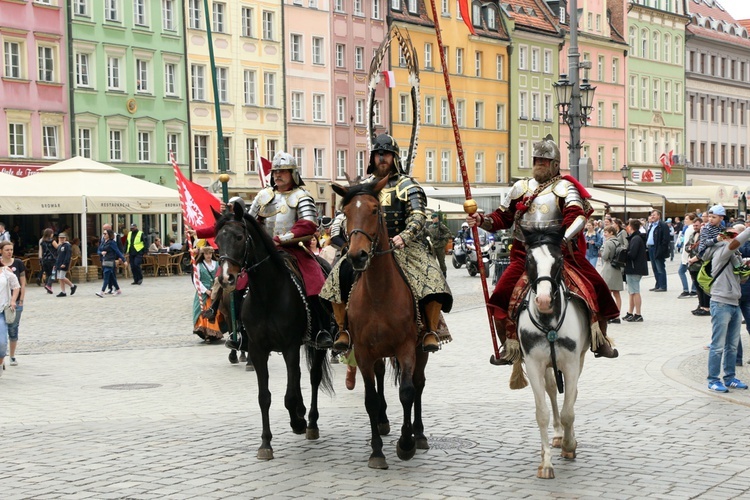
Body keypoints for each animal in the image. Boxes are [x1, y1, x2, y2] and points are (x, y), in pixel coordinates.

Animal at [334, 178, 432, 470]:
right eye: (345, 212)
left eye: (375, 210)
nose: (357, 255)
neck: (378, 293)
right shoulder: (364, 352)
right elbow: (370, 399)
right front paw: (376, 451)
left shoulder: (406, 347)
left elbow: (408, 392)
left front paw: (406, 443)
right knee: (379, 380)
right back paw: (383, 421)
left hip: (421, 350)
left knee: (419, 384)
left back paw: (419, 434)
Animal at [516, 228, 592, 480]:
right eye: (529, 260)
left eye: (559, 260)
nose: (544, 300)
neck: (548, 322)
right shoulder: (533, 364)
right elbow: (542, 412)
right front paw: (546, 463)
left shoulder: (571, 364)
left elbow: (569, 410)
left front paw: (569, 445)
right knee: (550, 390)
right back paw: (555, 437)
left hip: (579, 360)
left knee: (572, 395)